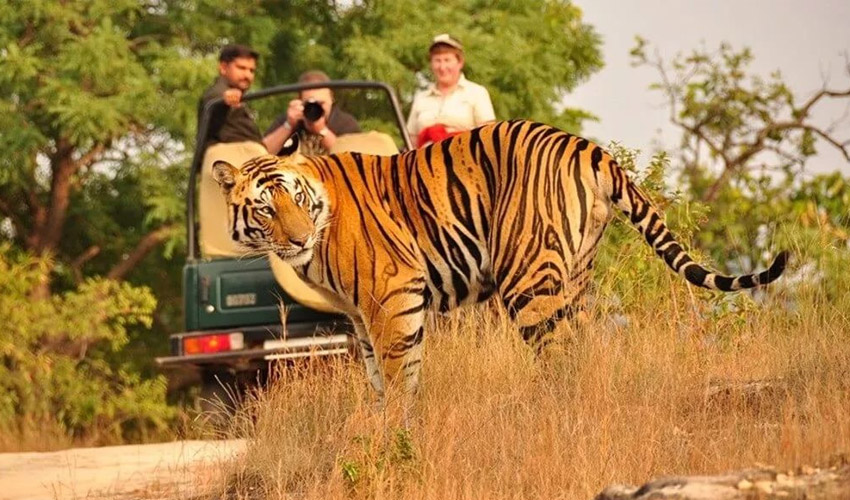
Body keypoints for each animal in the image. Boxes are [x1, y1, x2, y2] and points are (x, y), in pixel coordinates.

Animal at [214, 119, 788, 396]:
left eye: (296, 199)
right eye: (266, 208)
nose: (296, 240)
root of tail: (589, 147)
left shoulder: (392, 297)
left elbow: (400, 378)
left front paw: (398, 437)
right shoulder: (360, 316)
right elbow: (379, 379)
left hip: (528, 280)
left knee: (559, 357)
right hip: (575, 277)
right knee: (584, 349)